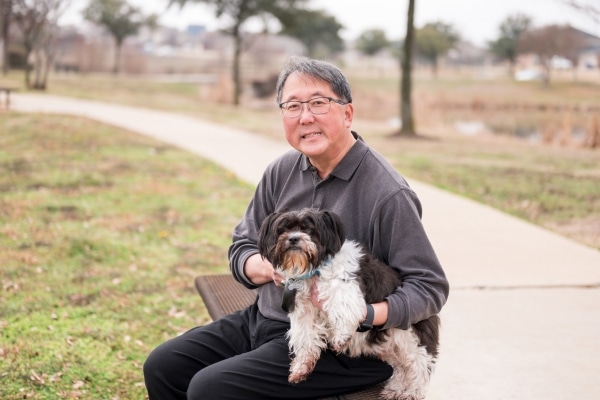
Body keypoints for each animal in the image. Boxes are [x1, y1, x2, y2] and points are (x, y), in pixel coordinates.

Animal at [258, 208, 440, 400]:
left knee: (419, 366)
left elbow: (343, 309)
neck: (315, 268)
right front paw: (302, 366)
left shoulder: (345, 288)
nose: (293, 238)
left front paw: (341, 337)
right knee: (401, 367)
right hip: (391, 346)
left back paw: (411, 392)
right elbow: (306, 337)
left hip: (412, 339)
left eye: (308, 229)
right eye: (283, 230)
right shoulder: (305, 311)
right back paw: (396, 388)